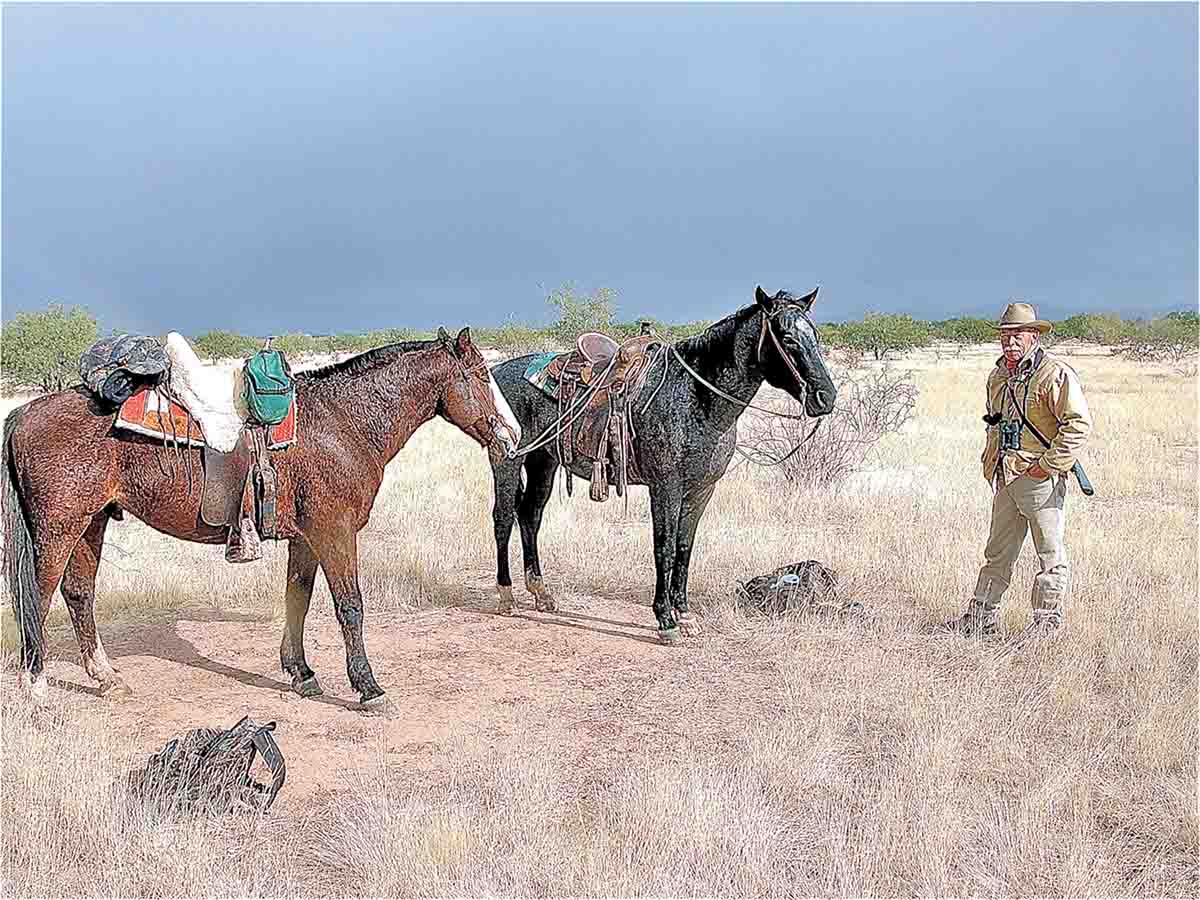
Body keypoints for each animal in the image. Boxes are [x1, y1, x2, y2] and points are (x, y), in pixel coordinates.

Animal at [4, 328, 520, 715]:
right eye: (480, 375)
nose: (513, 434)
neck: (341, 423)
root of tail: (25, 411)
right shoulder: (334, 533)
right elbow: (349, 607)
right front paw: (368, 687)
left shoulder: (307, 538)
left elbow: (299, 599)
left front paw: (302, 673)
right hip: (58, 529)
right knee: (37, 597)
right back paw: (36, 686)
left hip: (92, 523)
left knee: (78, 594)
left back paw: (107, 678)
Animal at [487, 285, 835, 643]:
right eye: (787, 338)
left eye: (815, 336)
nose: (826, 397)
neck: (696, 398)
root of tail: (494, 371)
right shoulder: (665, 487)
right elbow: (663, 547)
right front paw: (665, 619)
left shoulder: (701, 490)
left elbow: (684, 547)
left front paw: (685, 613)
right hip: (507, 460)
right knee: (503, 518)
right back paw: (506, 596)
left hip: (543, 462)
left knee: (530, 516)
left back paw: (541, 593)